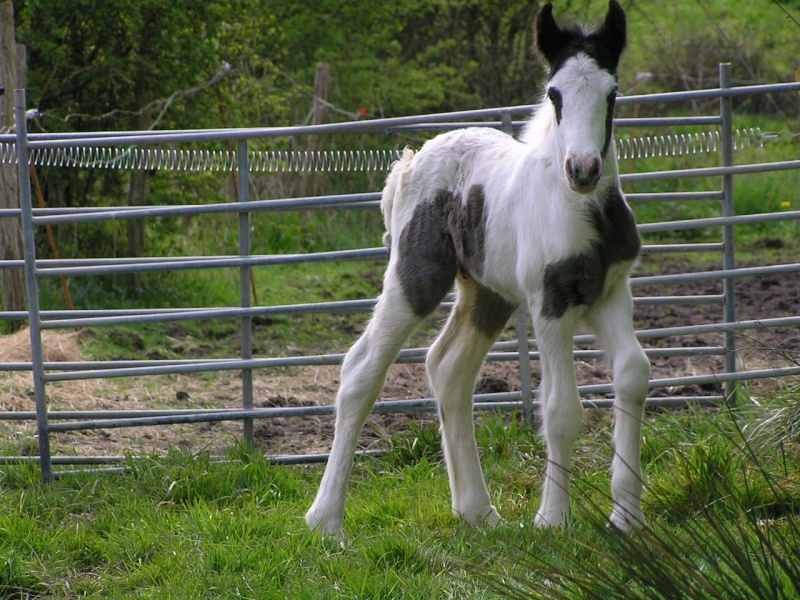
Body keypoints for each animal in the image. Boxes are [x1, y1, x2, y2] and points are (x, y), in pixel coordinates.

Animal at [306, 0, 648, 536]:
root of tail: (409, 163)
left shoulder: (611, 294)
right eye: (554, 94)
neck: (584, 210)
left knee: (448, 369)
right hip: (415, 280)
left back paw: (477, 510)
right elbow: (561, 409)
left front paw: (627, 516)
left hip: (488, 293)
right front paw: (553, 520)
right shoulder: (551, 303)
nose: (583, 169)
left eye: (612, 92)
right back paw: (326, 519)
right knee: (360, 372)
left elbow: (633, 373)